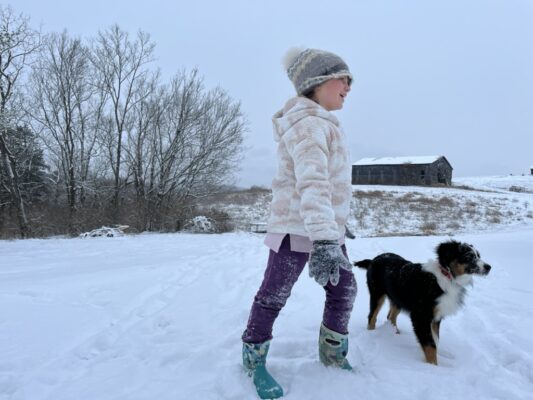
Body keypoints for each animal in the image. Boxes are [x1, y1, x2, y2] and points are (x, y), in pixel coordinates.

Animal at [354, 240, 491, 365]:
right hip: (377, 293)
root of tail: (373, 259)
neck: (447, 277)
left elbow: (435, 339)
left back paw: (394, 334)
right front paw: (433, 367)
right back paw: (372, 334)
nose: (488, 267)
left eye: (478, 255)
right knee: (372, 316)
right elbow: (430, 345)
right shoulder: (420, 316)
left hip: (398, 297)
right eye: (468, 256)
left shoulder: (436, 316)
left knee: (391, 316)